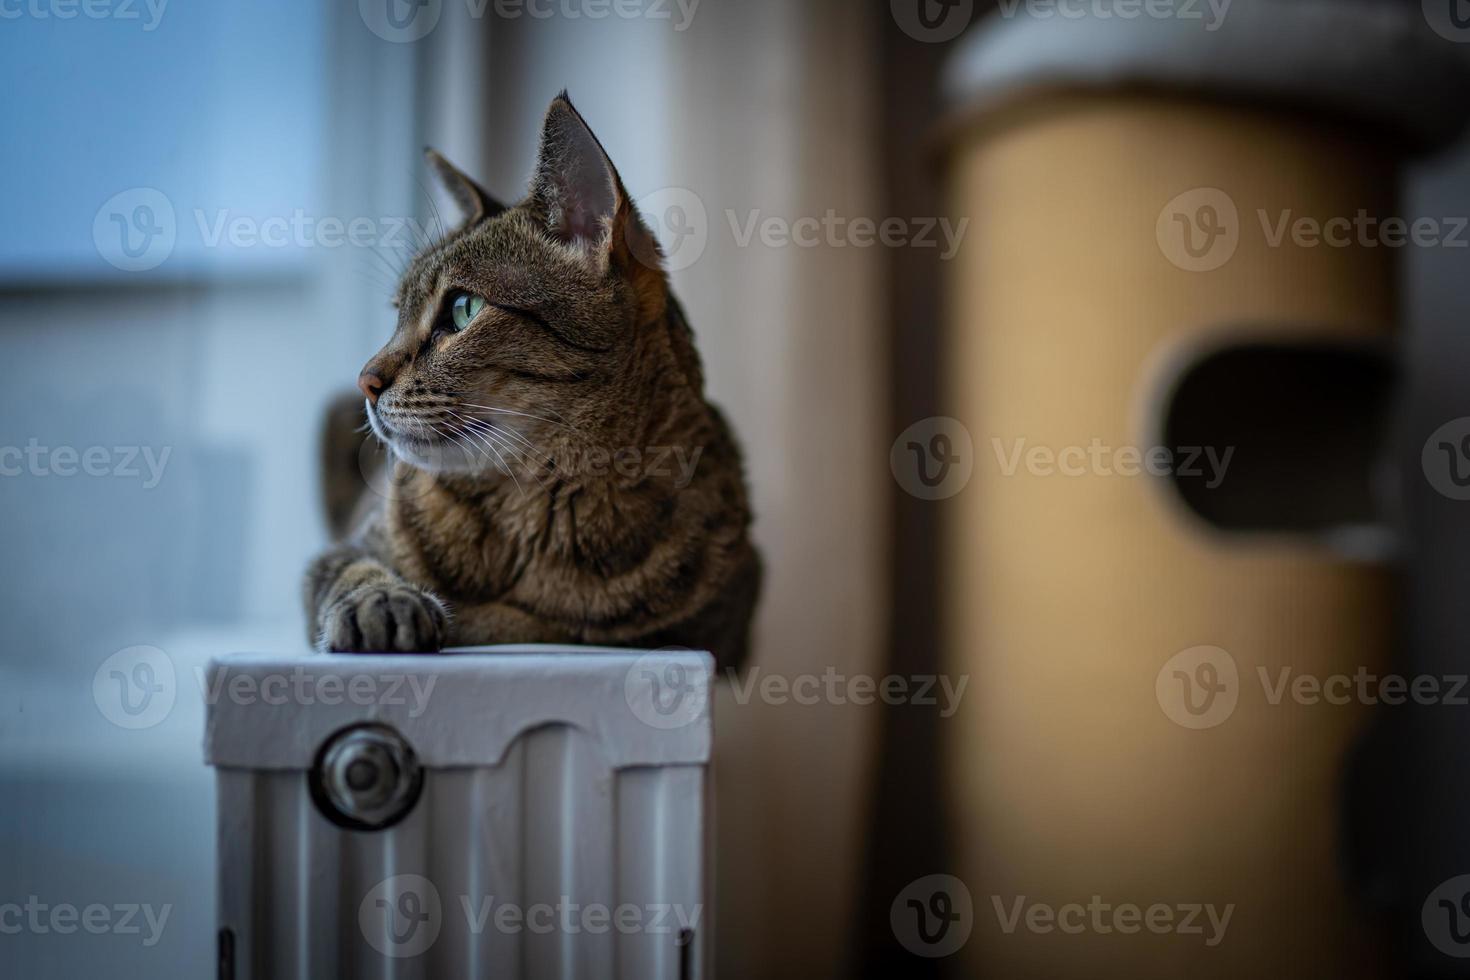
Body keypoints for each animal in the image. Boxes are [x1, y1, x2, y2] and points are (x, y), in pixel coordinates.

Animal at [301, 94, 758, 675]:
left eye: (463, 308)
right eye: (397, 313)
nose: (366, 380)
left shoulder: (719, 621)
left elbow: (538, 623)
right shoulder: (342, 550)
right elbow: (352, 570)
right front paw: (383, 600)